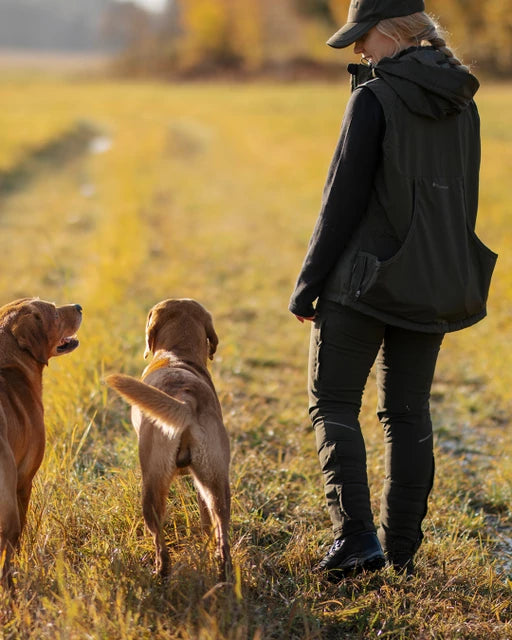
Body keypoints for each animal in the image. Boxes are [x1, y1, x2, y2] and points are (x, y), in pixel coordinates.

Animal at [107, 300, 231, 580]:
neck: (176, 354)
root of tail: (184, 400)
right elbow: (205, 520)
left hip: (151, 486)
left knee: (159, 543)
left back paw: (160, 573)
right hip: (217, 484)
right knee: (222, 533)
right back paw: (223, 574)